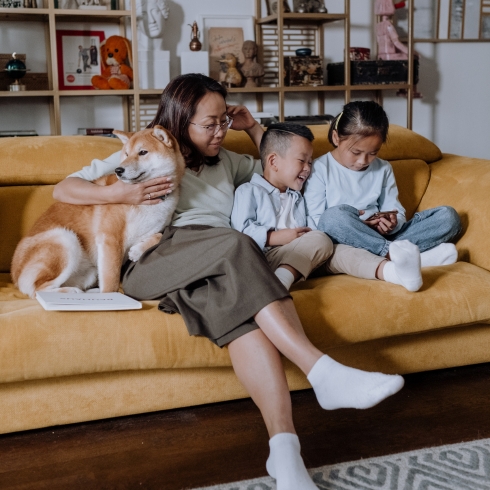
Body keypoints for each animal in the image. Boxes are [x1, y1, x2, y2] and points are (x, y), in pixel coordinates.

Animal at [11, 124, 185, 296]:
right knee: (38, 289)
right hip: (65, 238)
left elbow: (159, 235)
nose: (118, 170)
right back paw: (72, 292)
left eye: (143, 152)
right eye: (126, 154)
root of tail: (14, 274)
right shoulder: (110, 240)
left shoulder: (154, 229)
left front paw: (137, 250)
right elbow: (111, 283)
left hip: (91, 271)